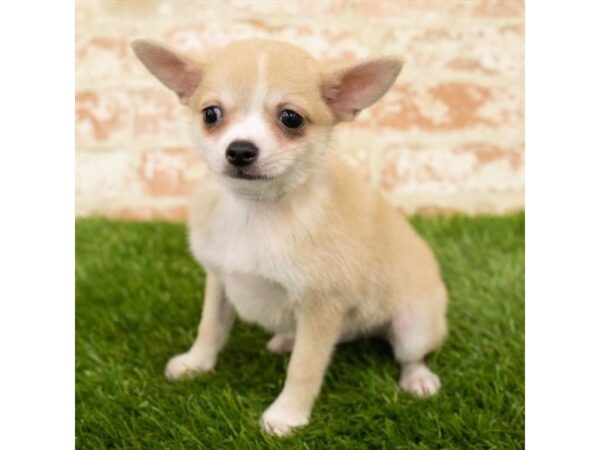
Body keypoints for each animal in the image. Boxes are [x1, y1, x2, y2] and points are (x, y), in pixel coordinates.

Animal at [134, 38, 448, 436]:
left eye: (291, 119)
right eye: (211, 114)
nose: (240, 149)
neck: (256, 210)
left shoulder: (321, 307)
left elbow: (305, 366)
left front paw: (287, 415)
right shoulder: (219, 280)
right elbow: (211, 327)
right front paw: (196, 363)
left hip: (414, 327)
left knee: (410, 356)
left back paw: (418, 379)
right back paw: (285, 338)